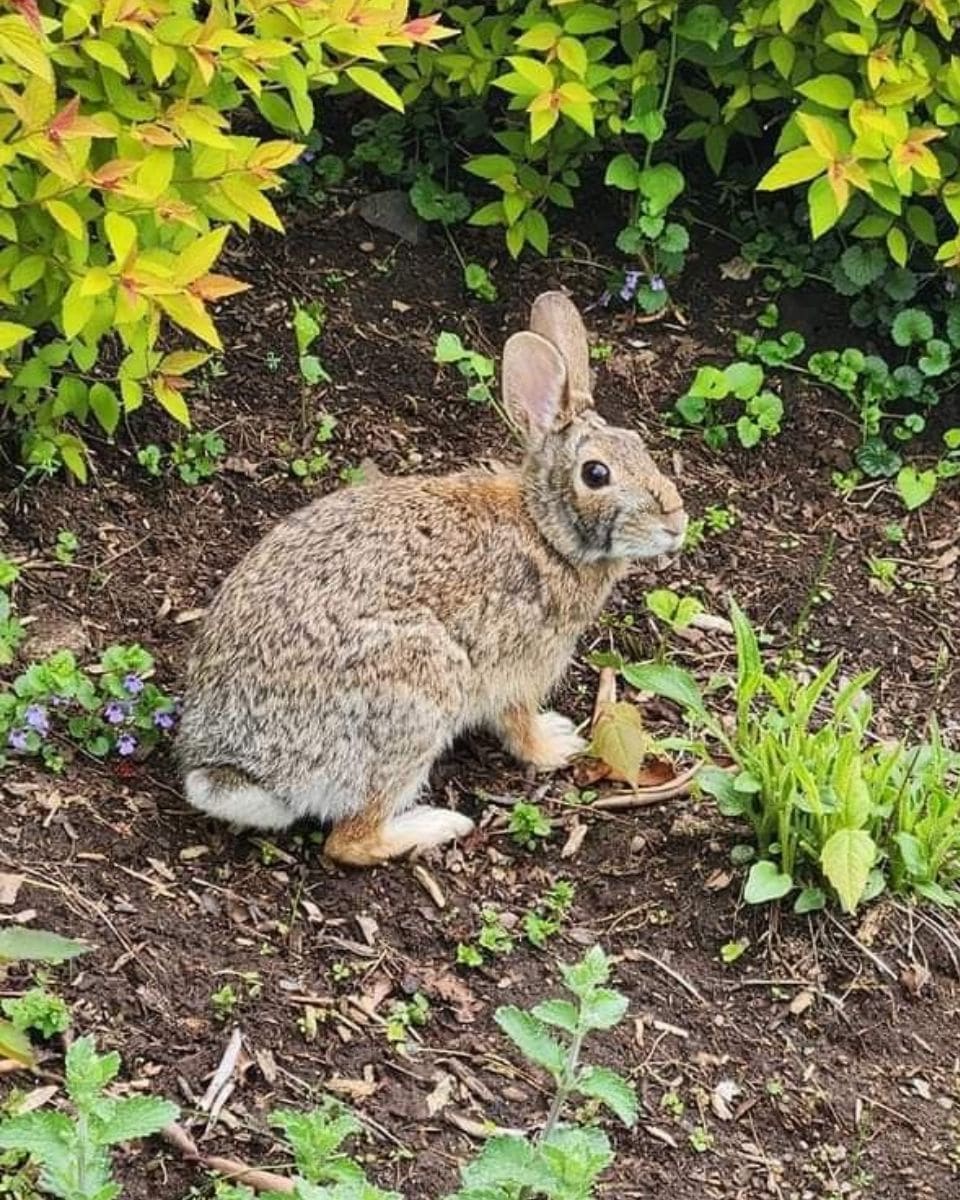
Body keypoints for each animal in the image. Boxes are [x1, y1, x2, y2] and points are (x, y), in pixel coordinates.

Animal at [176, 295, 686, 868]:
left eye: (638, 445)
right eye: (596, 475)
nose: (676, 522)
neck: (545, 529)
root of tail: (237, 770)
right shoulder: (519, 669)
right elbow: (519, 725)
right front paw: (556, 746)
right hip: (416, 695)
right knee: (350, 840)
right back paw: (437, 824)